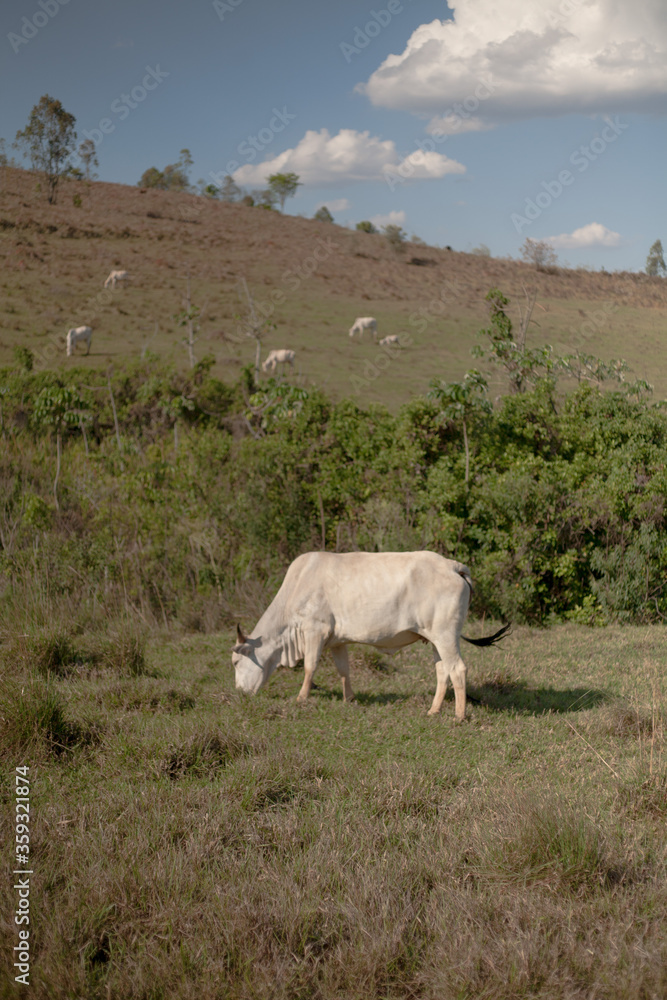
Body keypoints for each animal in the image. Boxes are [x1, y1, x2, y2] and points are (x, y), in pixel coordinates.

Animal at [232, 551, 510, 720]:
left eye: (235, 662)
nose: (239, 693)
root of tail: (453, 566)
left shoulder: (314, 630)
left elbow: (310, 666)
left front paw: (301, 698)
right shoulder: (336, 640)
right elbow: (343, 670)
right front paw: (349, 699)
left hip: (446, 635)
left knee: (458, 669)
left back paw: (459, 715)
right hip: (435, 638)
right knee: (443, 671)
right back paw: (433, 710)